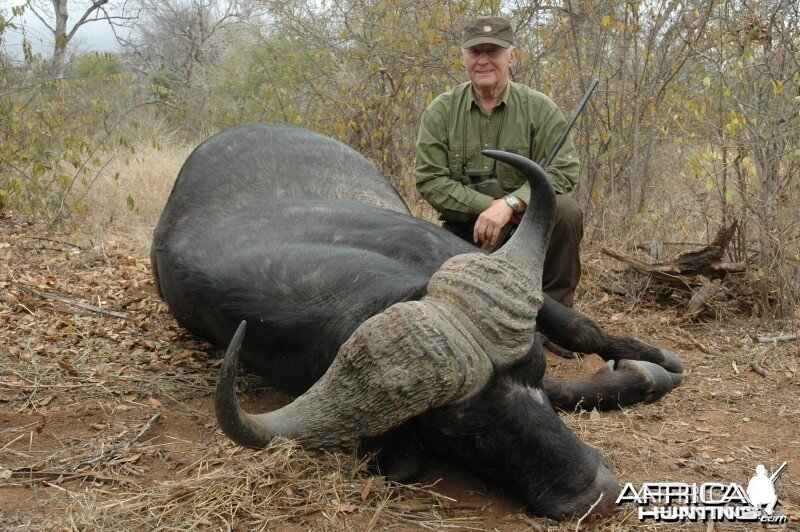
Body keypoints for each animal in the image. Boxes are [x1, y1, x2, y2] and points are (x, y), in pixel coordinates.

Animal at [152, 123, 680, 520]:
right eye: (461, 434)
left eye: (537, 374)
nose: (596, 491)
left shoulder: (449, 251)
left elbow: (578, 328)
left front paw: (651, 364)